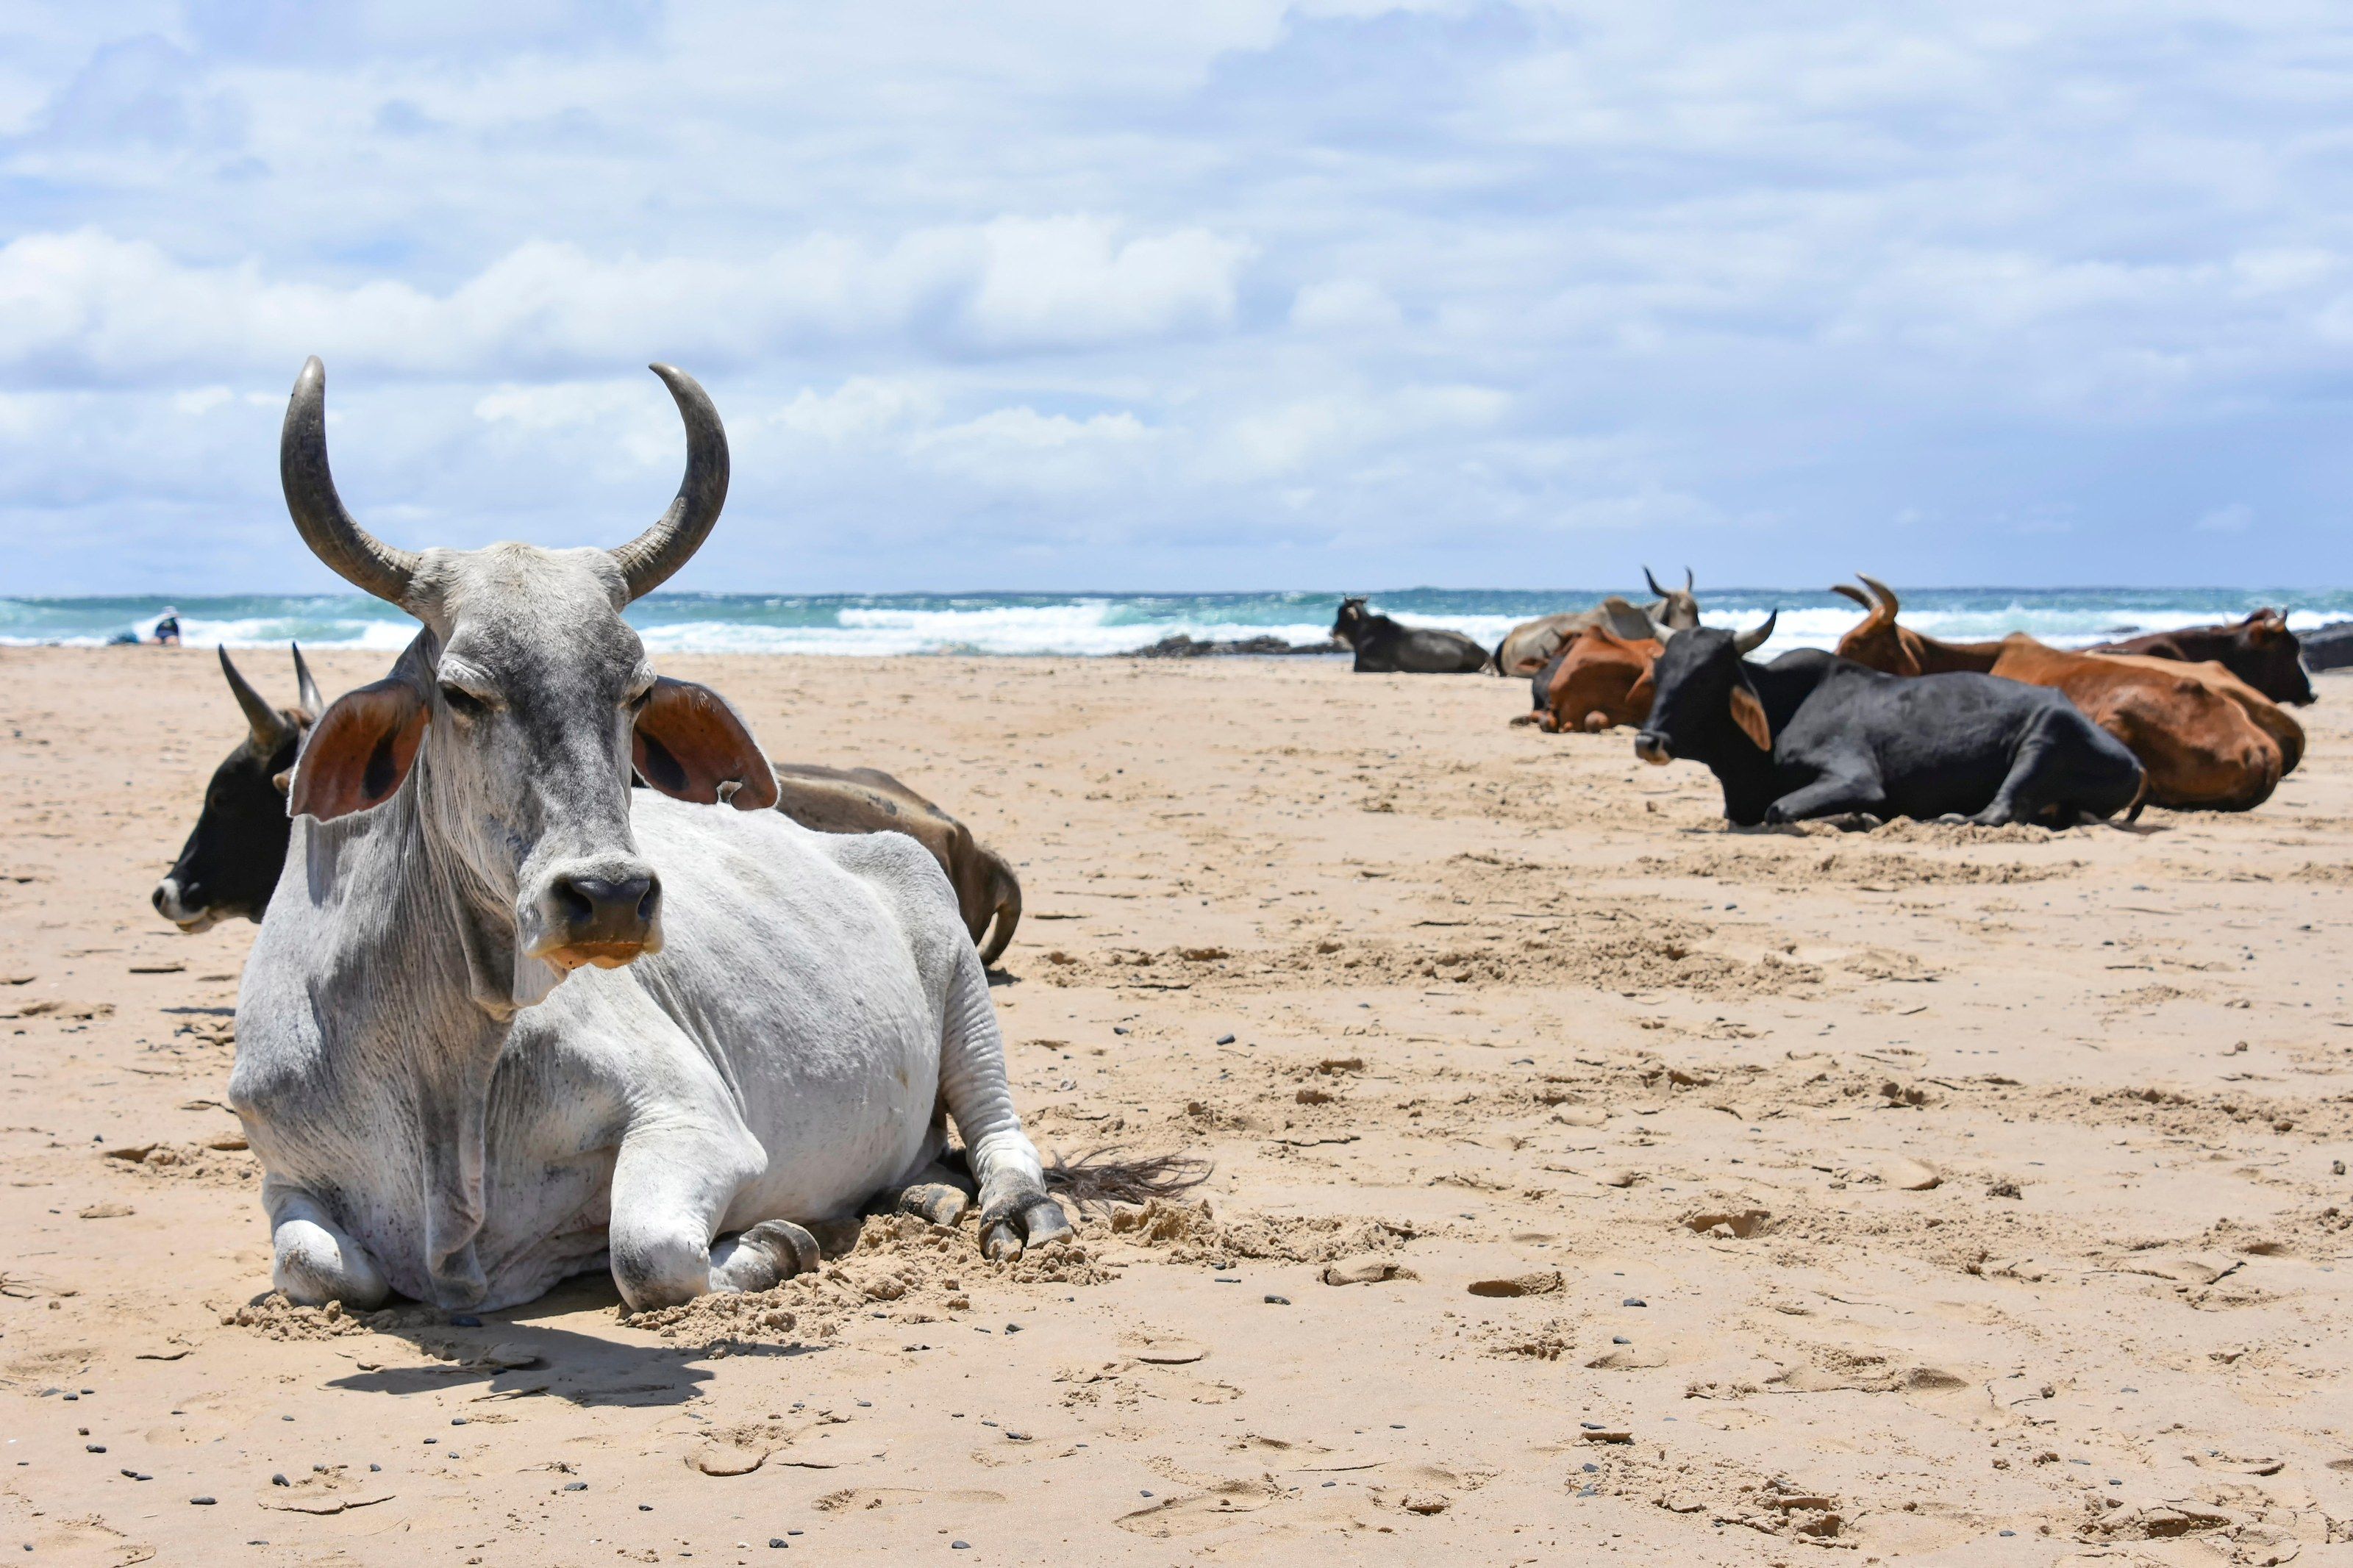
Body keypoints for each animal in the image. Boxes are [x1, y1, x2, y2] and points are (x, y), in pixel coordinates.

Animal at [230, 357, 1082, 1314]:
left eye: (636, 690)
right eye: (458, 692)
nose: (610, 898)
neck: (442, 1073)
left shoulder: (691, 1116)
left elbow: (647, 1254)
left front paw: (780, 1242)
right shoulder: (284, 1175)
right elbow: (314, 1268)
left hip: (962, 986)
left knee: (999, 1127)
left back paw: (1010, 1210)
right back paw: (925, 1195)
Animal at [1634, 617, 2146, 828]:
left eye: (1705, 676)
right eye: (1661, 672)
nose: (1647, 741)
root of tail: (2137, 764)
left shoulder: (1854, 776)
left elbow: (1779, 809)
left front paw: (1856, 816)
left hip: (2045, 736)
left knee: (2002, 812)